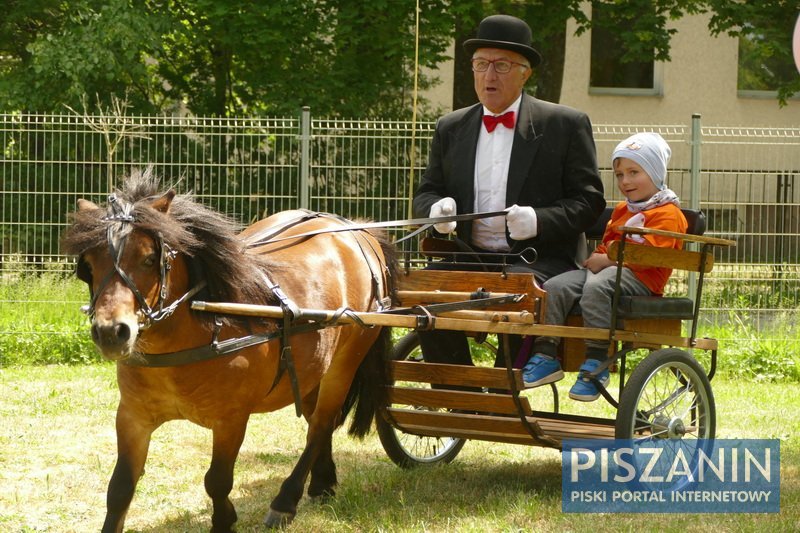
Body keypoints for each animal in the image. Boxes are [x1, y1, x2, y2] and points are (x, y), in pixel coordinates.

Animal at [61, 168, 398, 528]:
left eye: (150, 259)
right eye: (89, 264)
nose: (111, 332)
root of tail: (357, 231)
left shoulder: (231, 420)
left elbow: (217, 481)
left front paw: (225, 518)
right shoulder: (132, 417)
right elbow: (120, 488)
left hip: (346, 360)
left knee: (321, 423)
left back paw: (286, 500)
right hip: (313, 368)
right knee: (316, 421)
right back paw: (322, 482)